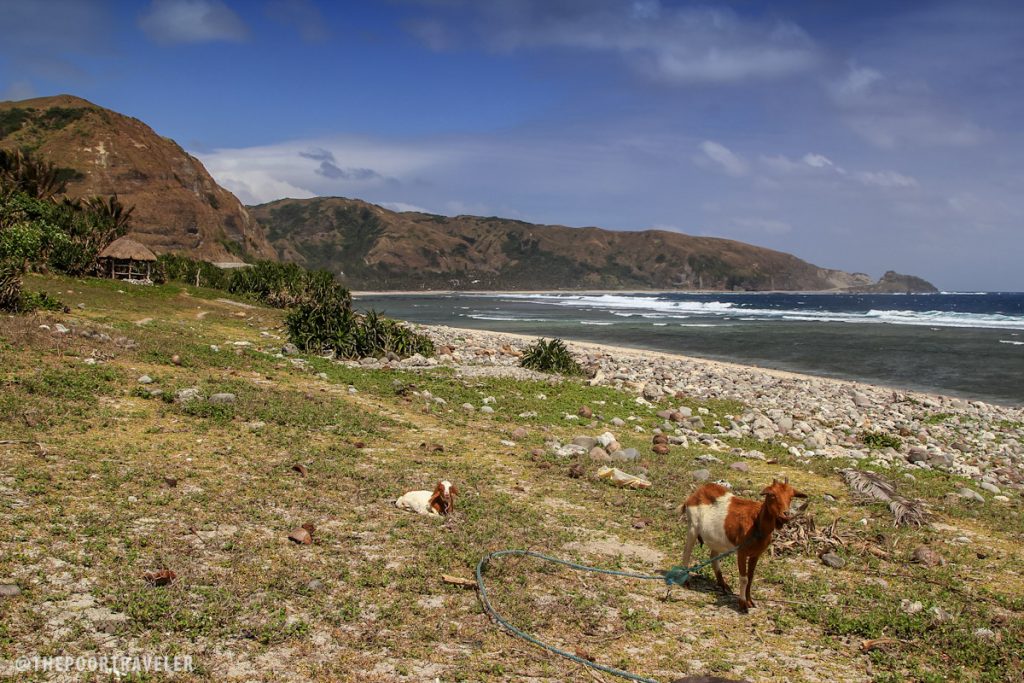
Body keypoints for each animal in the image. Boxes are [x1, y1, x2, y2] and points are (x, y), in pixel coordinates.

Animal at [679, 478, 806, 611]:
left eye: (791, 497)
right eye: (772, 495)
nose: (785, 515)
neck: (756, 524)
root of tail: (694, 495)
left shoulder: (756, 554)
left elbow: (750, 577)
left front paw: (750, 601)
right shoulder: (742, 552)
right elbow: (744, 578)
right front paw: (742, 604)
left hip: (717, 539)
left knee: (713, 556)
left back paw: (723, 585)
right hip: (692, 526)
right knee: (687, 552)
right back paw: (686, 581)